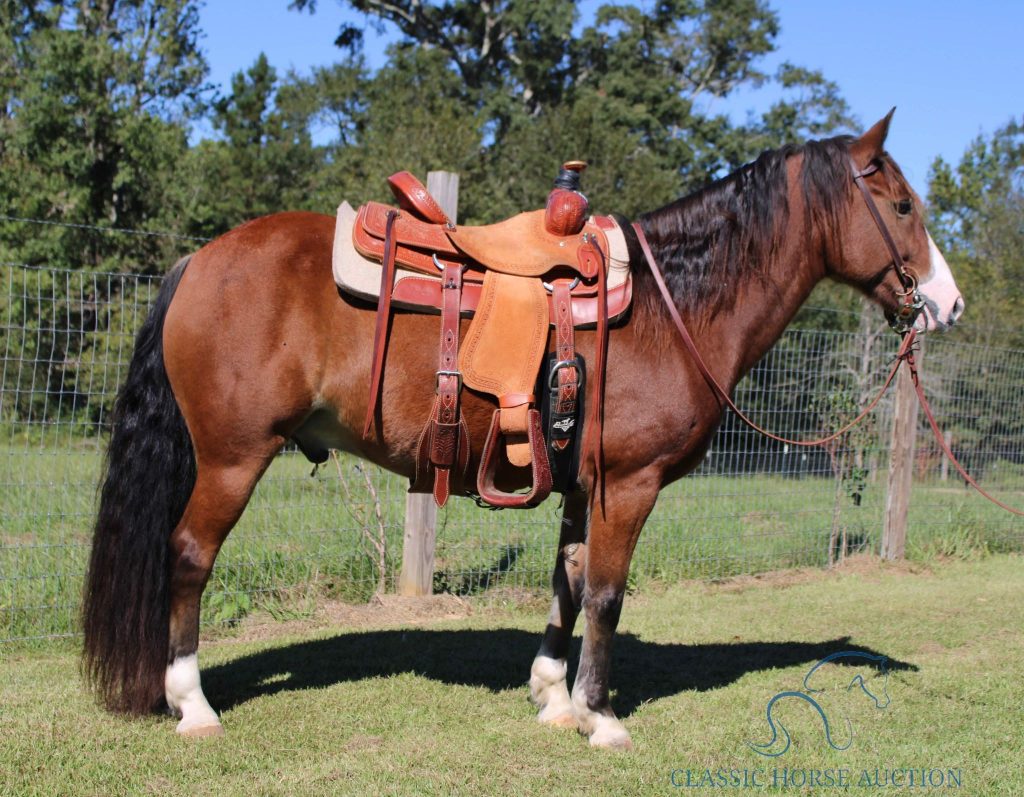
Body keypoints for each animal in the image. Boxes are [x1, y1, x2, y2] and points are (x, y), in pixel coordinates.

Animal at [79, 110, 958, 745]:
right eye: (902, 206)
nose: (945, 304)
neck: (672, 306)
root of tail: (198, 260)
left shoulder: (583, 484)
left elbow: (566, 582)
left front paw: (553, 695)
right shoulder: (630, 486)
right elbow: (606, 592)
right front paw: (601, 715)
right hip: (232, 457)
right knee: (189, 556)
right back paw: (192, 704)